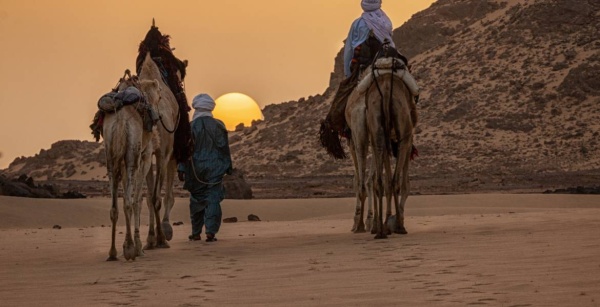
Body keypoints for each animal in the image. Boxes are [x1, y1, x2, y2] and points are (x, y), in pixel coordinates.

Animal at [103, 73, 161, 262]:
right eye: (159, 96)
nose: (157, 116)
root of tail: (121, 120)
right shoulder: (145, 156)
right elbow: (138, 199)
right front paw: (139, 246)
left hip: (110, 153)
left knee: (115, 206)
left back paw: (113, 252)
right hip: (132, 153)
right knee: (128, 201)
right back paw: (130, 248)